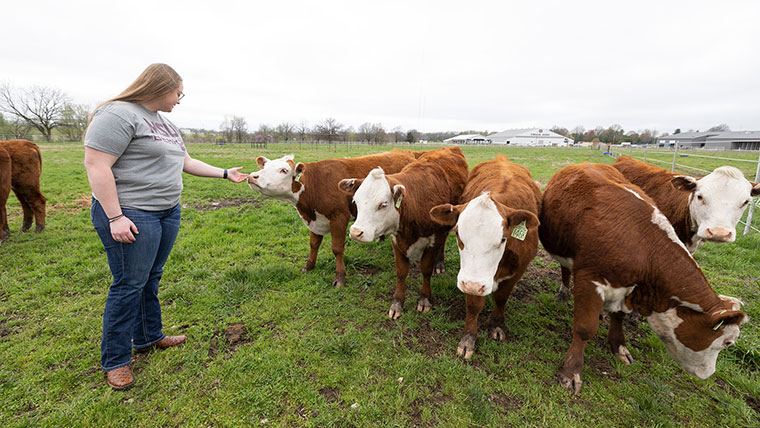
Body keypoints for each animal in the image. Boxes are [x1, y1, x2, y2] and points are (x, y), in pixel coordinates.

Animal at [248, 150, 416, 288]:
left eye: (284, 170)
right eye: (264, 167)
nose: (253, 176)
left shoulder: (339, 217)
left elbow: (337, 248)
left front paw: (340, 278)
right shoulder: (315, 221)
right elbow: (313, 244)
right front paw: (309, 266)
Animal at [338, 146, 470, 318]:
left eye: (383, 204)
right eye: (356, 200)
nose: (355, 232)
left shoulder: (433, 239)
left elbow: (426, 270)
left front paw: (424, 298)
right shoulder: (397, 239)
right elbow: (401, 272)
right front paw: (397, 303)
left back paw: (439, 263)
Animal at [430, 155, 544, 360]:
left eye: (503, 239)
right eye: (458, 234)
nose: (473, 285)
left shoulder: (518, 269)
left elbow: (502, 297)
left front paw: (497, 325)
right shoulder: (469, 275)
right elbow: (474, 305)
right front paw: (468, 339)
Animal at [540, 161, 748, 394]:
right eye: (728, 342)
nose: (709, 374)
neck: (644, 247)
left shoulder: (630, 290)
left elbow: (619, 316)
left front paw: (619, 346)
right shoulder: (590, 280)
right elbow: (585, 328)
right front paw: (571, 372)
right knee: (565, 270)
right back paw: (564, 293)